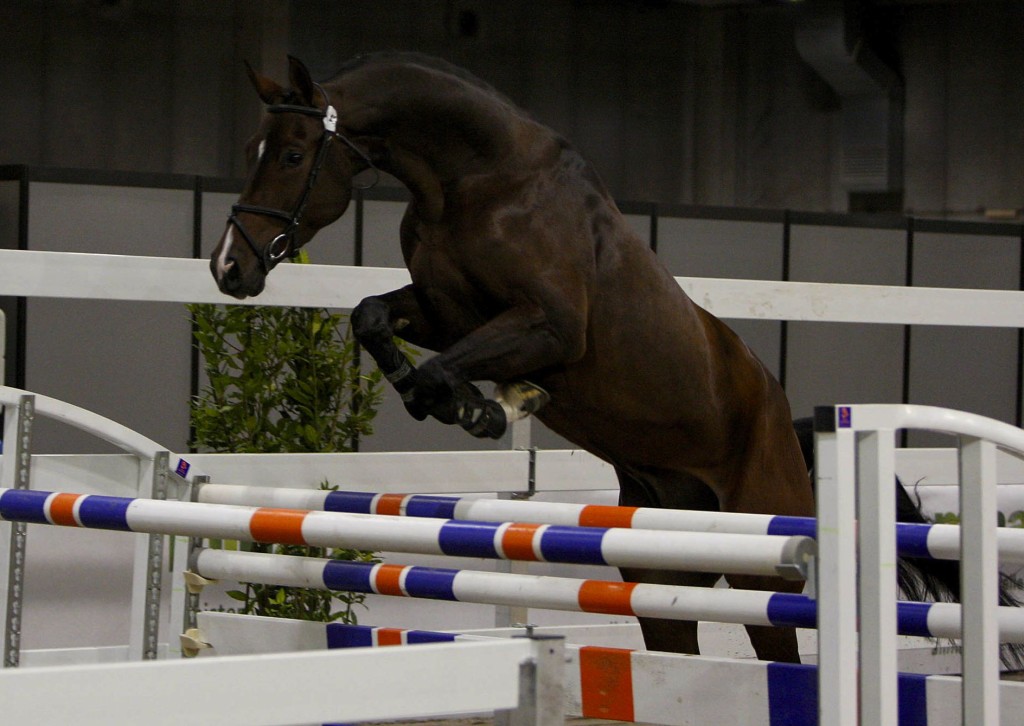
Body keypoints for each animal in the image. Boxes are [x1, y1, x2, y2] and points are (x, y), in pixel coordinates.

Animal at [209, 51, 819, 663]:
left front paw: (488, 408)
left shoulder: (550, 326)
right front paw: (465, 399)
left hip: (761, 570)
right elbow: (373, 319)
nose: (228, 266)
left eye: (292, 155)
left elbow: (442, 369)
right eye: (251, 149)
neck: (478, 184)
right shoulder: (445, 310)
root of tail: (781, 413)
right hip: (659, 577)